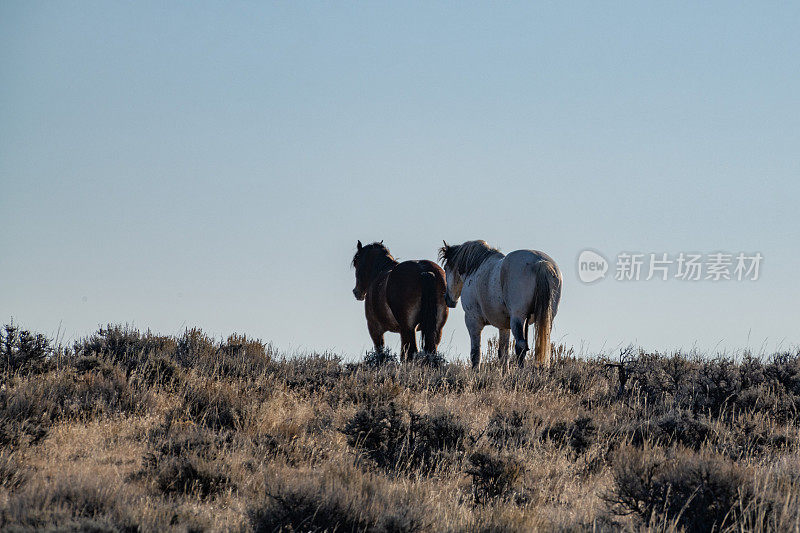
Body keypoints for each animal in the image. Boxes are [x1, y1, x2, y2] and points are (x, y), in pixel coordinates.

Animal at [438, 240, 564, 368]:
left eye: (446, 268)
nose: (447, 299)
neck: (476, 268)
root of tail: (540, 262)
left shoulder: (472, 321)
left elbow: (475, 353)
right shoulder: (504, 326)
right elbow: (503, 353)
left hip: (518, 318)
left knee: (520, 346)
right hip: (546, 318)